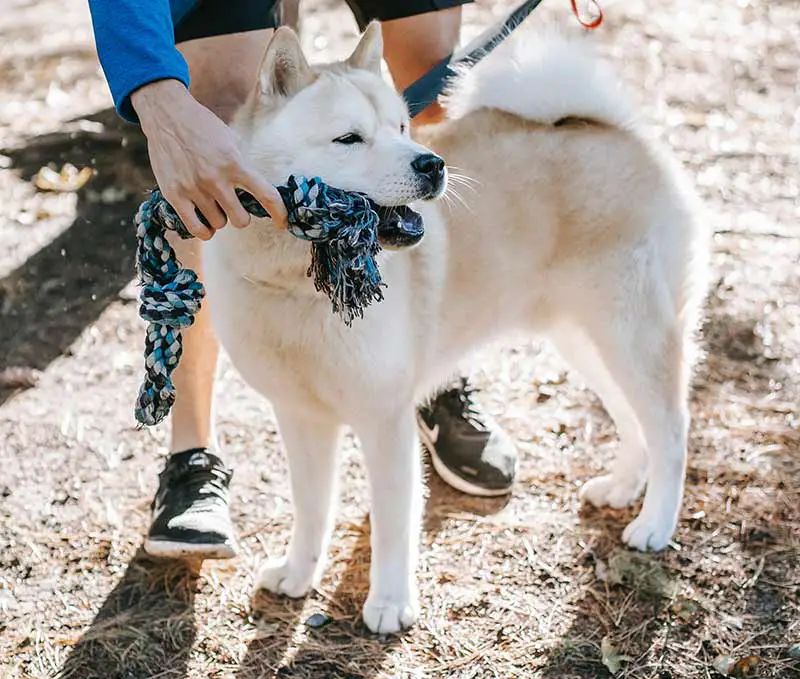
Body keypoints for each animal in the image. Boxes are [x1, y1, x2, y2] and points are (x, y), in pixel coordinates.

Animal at [203, 22, 708, 636]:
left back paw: (656, 523)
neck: (299, 284)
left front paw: (390, 602)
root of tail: (614, 128)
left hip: (631, 334)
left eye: (400, 127)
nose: (431, 164)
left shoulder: (385, 421)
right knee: (635, 421)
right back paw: (622, 487)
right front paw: (299, 575)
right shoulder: (301, 418)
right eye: (349, 139)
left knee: (672, 429)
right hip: (586, 339)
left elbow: (394, 520)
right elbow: (312, 509)